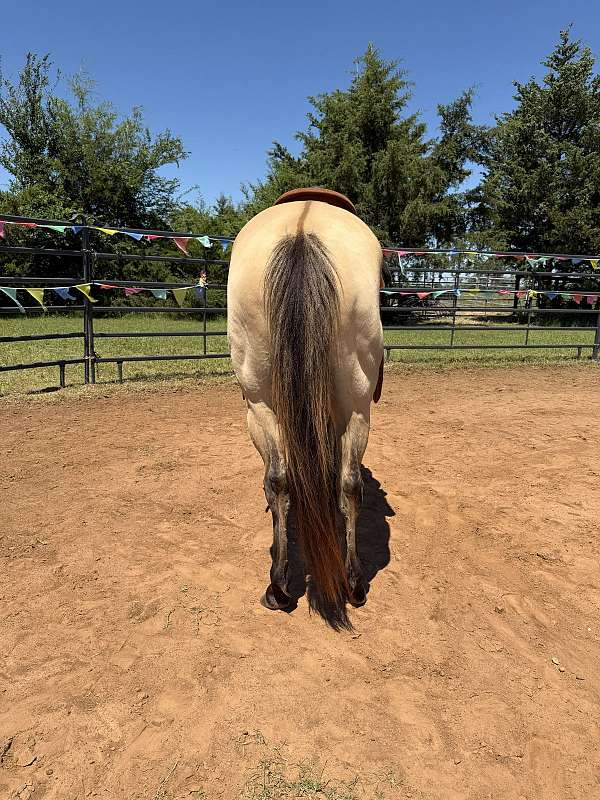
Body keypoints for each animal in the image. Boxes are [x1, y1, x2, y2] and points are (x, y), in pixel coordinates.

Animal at [227, 188, 384, 625]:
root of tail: (301, 230)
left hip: (262, 406)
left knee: (287, 479)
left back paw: (283, 585)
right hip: (347, 407)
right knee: (338, 482)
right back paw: (348, 583)